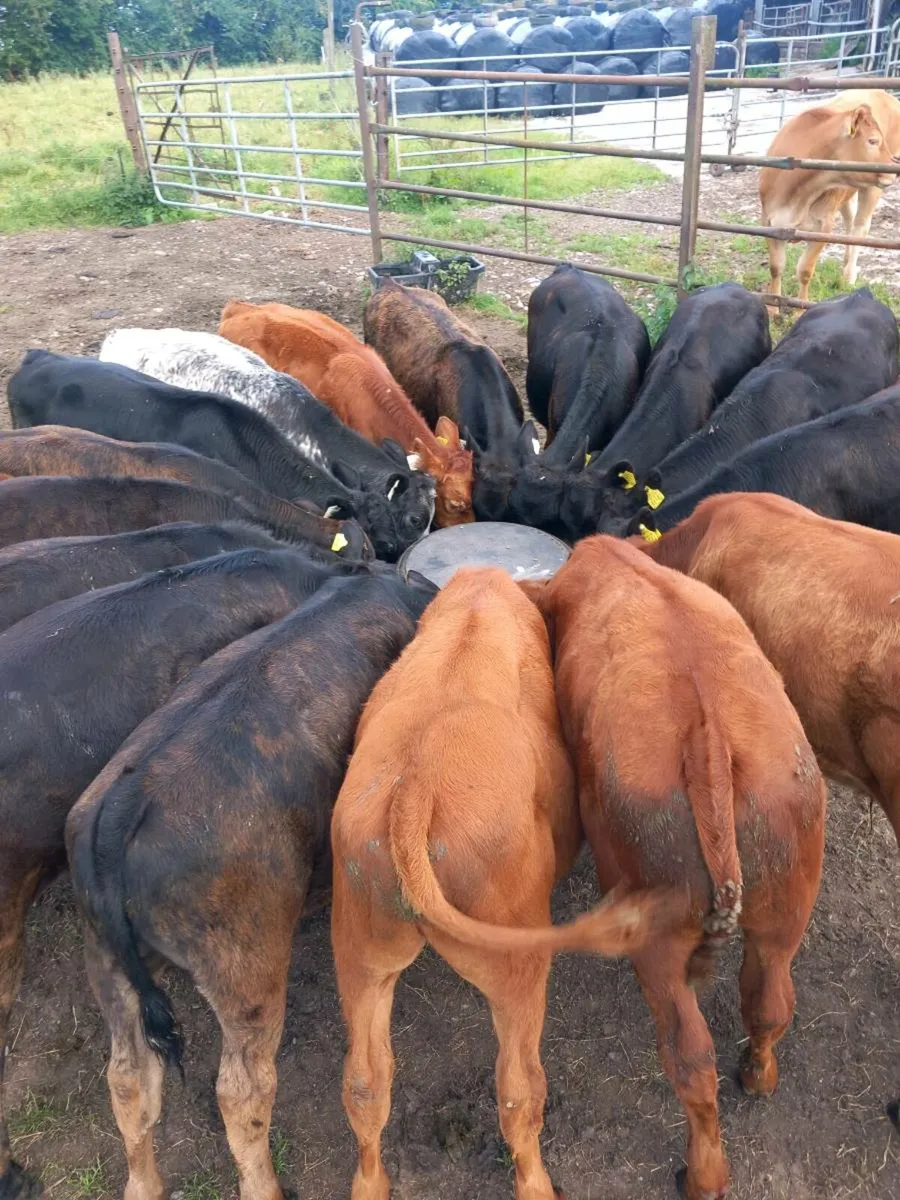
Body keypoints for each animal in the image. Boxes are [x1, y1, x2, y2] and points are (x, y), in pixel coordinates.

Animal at [66, 570, 436, 1200]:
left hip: (107, 961)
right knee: (242, 1093)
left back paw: (144, 1184)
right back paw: (265, 1186)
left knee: (129, 1079)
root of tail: (124, 803)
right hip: (247, 970)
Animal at [331, 568, 683, 1200]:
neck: (478, 603)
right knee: (519, 1090)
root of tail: (415, 787)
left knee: (365, 1084)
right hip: (516, 962)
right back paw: (537, 1183)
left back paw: (370, 1183)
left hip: (361, 950)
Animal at [521, 537, 825, 1200]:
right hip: (785, 905)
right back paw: (757, 1078)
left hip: (657, 940)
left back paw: (703, 1175)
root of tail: (707, 738)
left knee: (690, 1057)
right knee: (770, 1002)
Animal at [760, 94, 900, 302]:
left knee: (860, 227)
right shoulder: (768, 221)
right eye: (873, 141)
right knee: (850, 222)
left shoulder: (824, 226)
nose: (895, 170)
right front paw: (773, 306)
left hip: (872, 189)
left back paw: (849, 276)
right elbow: (776, 267)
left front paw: (799, 308)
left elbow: (805, 270)